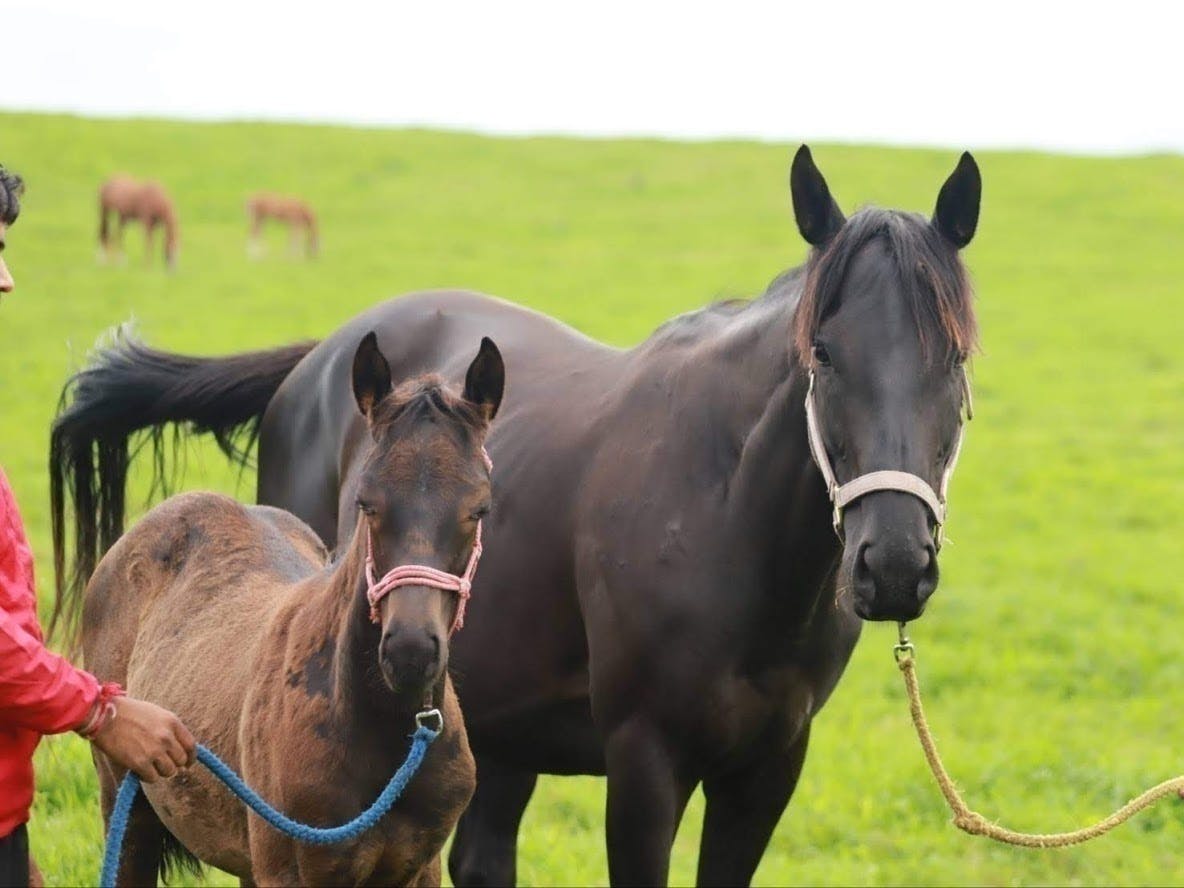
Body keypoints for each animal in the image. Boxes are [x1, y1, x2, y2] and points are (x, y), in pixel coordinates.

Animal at [72, 336, 499, 888]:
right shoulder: (294, 870)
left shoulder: (419, 868)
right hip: (128, 809)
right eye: (366, 502)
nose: (409, 653)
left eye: (479, 509)